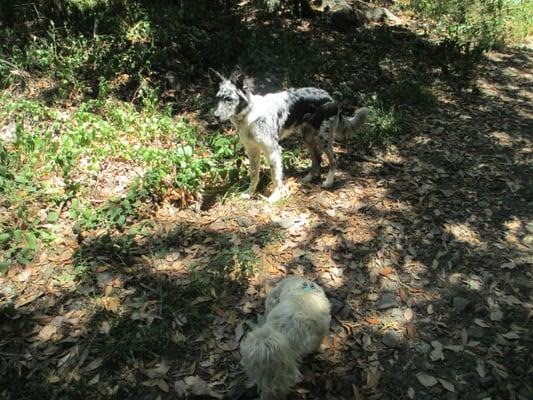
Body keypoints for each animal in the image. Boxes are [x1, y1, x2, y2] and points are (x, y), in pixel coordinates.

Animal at [210, 68, 368, 203]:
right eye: (217, 98)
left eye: (229, 99)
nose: (216, 116)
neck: (249, 114)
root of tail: (329, 97)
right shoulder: (252, 150)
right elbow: (254, 174)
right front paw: (249, 192)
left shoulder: (273, 150)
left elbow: (275, 177)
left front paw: (275, 197)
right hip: (307, 137)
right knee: (317, 158)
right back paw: (308, 178)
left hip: (323, 138)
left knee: (333, 159)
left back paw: (328, 181)